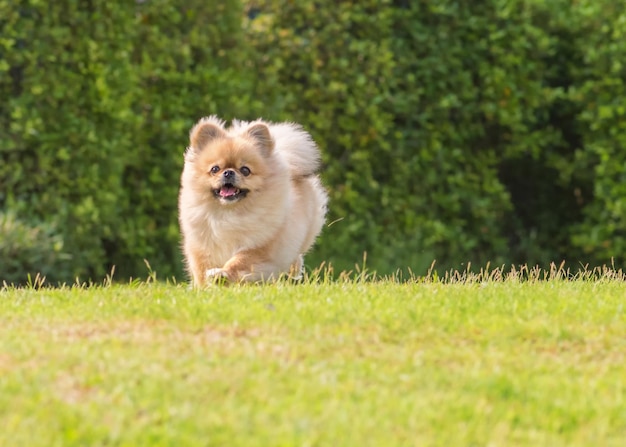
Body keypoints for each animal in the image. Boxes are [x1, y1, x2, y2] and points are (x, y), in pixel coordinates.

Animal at [177, 117, 326, 288]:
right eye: (215, 169)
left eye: (245, 170)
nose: (228, 172)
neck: (228, 213)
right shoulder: (201, 246)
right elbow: (201, 268)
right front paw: (205, 288)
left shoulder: (258, 246)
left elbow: (239, 261)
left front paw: (222, 274)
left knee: (295, 254)